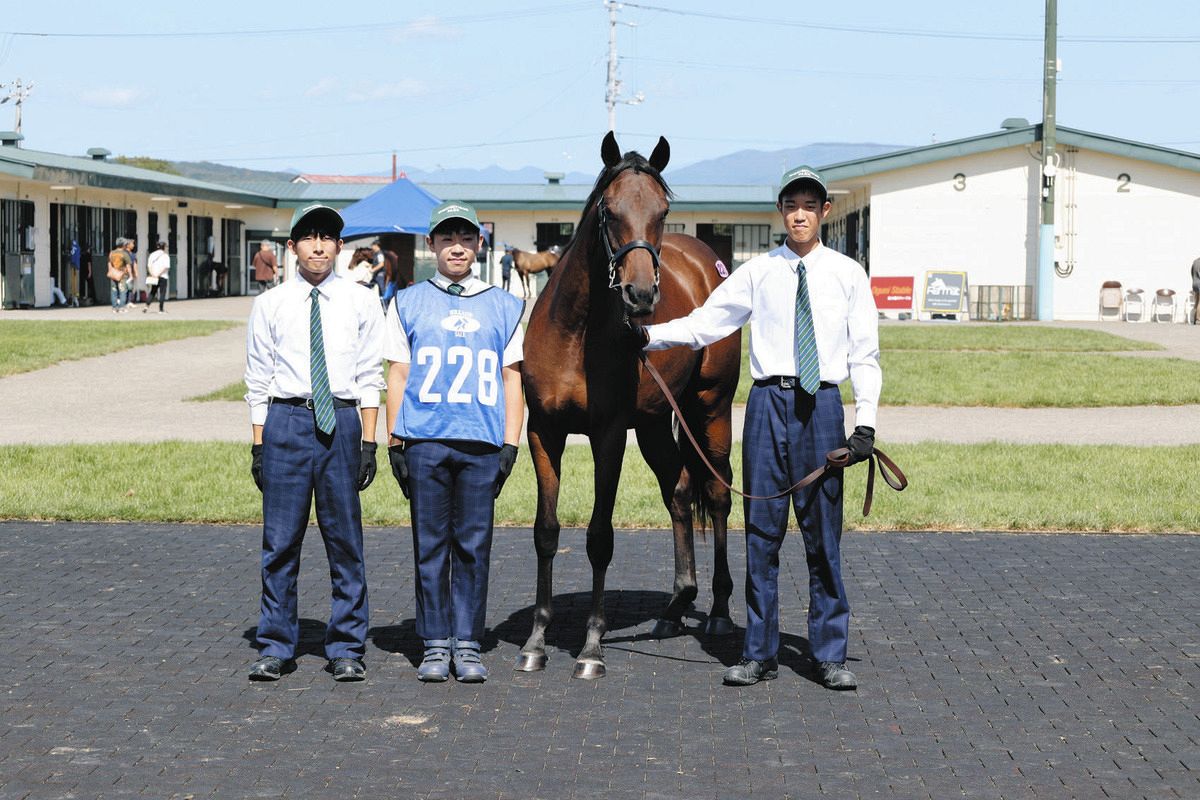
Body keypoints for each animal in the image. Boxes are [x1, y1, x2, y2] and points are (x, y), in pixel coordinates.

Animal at [516, 131, 741, 679]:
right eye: (609, 208)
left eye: (663, 211)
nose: (640, 295)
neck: (575, 332)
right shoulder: (543, 433)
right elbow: (546, 531)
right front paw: (536, 641)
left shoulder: (609, 435)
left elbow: (600, 537)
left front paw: (592, 648)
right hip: (658, 423)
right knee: (679, 492)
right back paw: (677, 605)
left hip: (710, 409)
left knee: (717, 496)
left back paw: (719, 611)